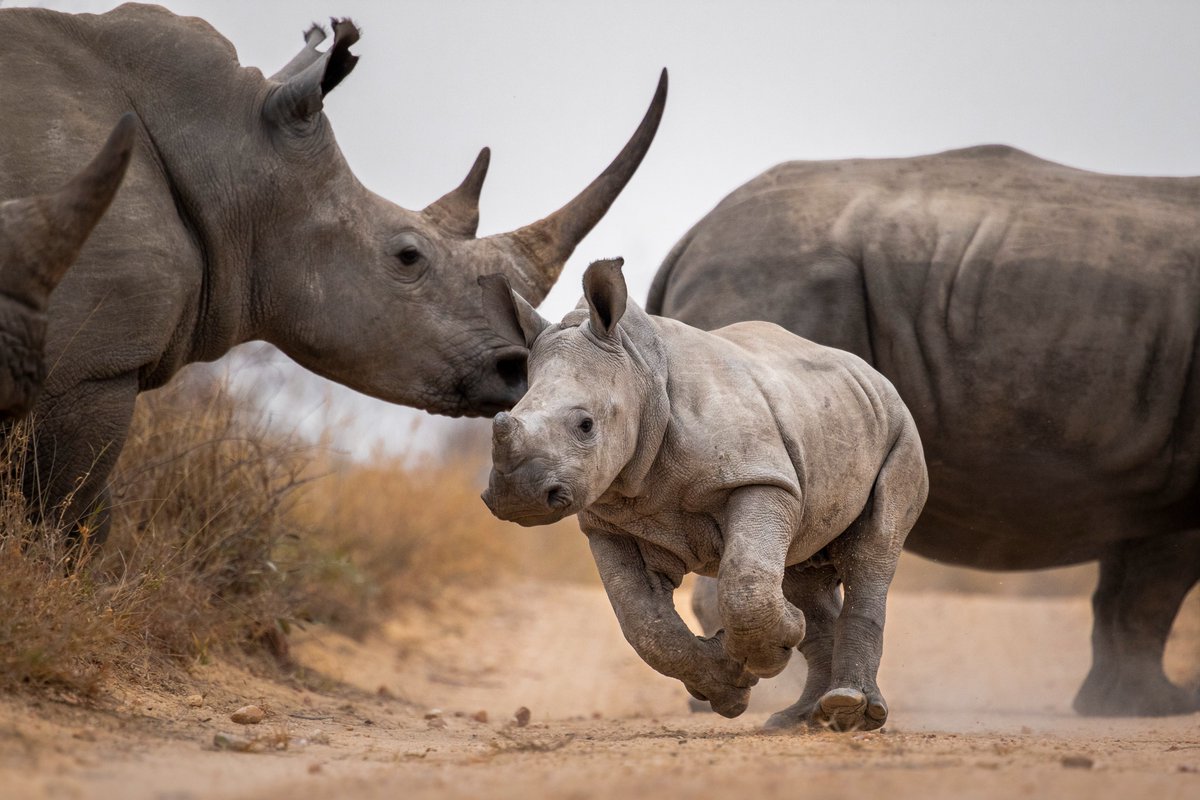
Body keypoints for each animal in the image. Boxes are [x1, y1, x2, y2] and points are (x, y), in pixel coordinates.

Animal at [479, 259, 928, 731]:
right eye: (505, 416)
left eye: (585, 425)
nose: (519, 496)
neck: (639, 370)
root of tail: (873, 374)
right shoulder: (607, 522)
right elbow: (644, 623)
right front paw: (731, 681)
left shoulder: (758, 476)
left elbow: (745, 582)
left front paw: (770, 652)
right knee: (801, 560)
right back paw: (800, 719)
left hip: (899, 428)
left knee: (872, 548)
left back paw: (848, 709)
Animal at [646, 145, 1200, 717]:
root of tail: (693, 235)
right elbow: (1154, 585)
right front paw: (1161, 707)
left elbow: (1132, 589)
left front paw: (1128, 705)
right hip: (776, 278)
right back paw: (772, 698)